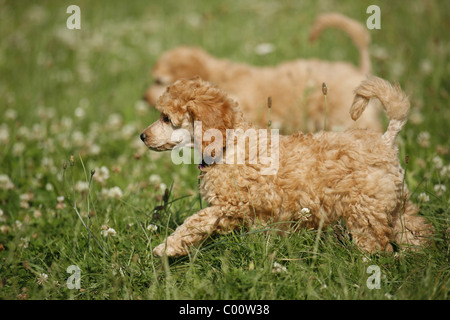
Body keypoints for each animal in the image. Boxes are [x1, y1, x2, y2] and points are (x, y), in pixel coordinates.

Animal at [140, 75, 432, 258]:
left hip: (365, 211)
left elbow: (194, 222)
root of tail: (385, 140)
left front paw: (166, 248)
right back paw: (417, 256)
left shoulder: (229, 205)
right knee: (414, 228)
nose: (142, 136)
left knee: (377, 244)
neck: (230, 143)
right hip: (393, 202)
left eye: (166, 118)